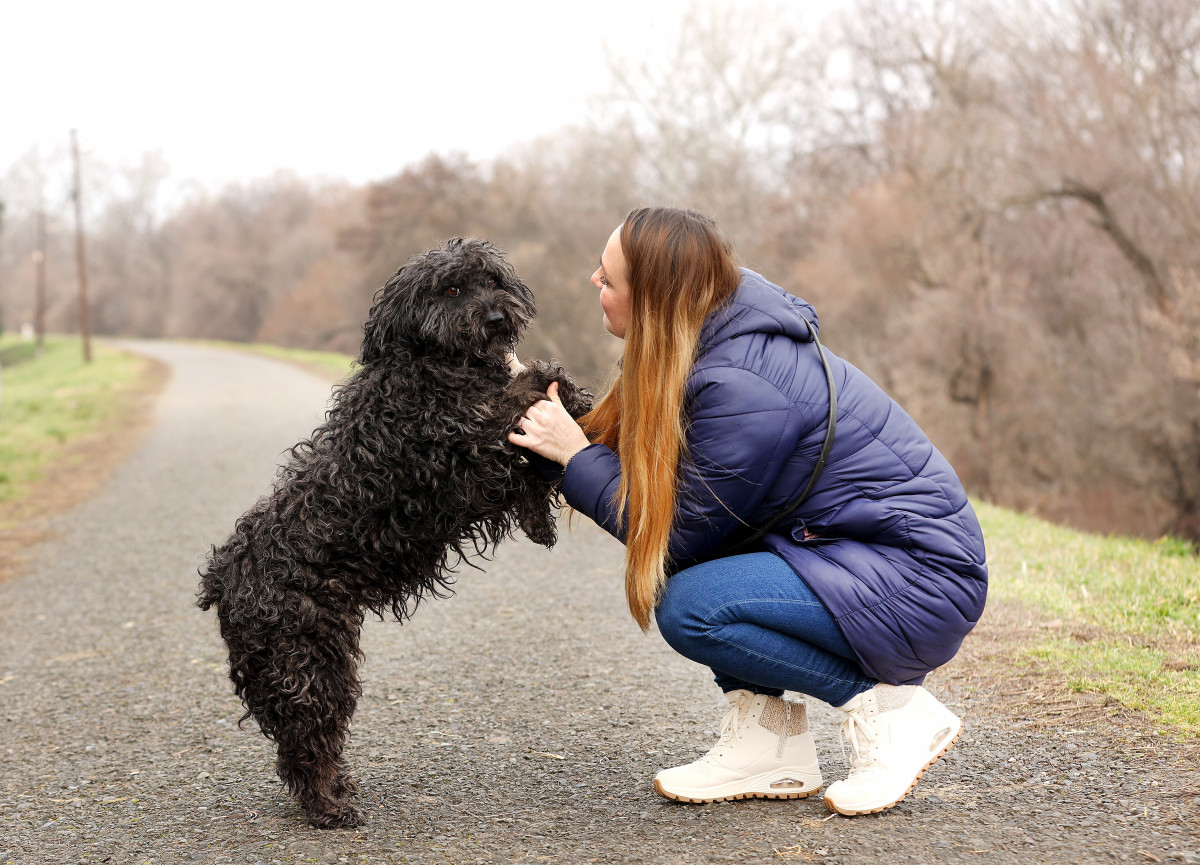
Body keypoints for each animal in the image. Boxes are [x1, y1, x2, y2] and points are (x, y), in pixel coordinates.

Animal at [199, 237, 592, 830]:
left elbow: (533, 453)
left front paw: (540, 518)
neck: (432, 364)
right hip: (310, 662)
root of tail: (225, 577)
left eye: (492, 280)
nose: (496, 317)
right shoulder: (467, 447)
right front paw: (562, 392)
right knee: (305, 742)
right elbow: (528, 392)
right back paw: (329, 807)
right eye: (451, 289)